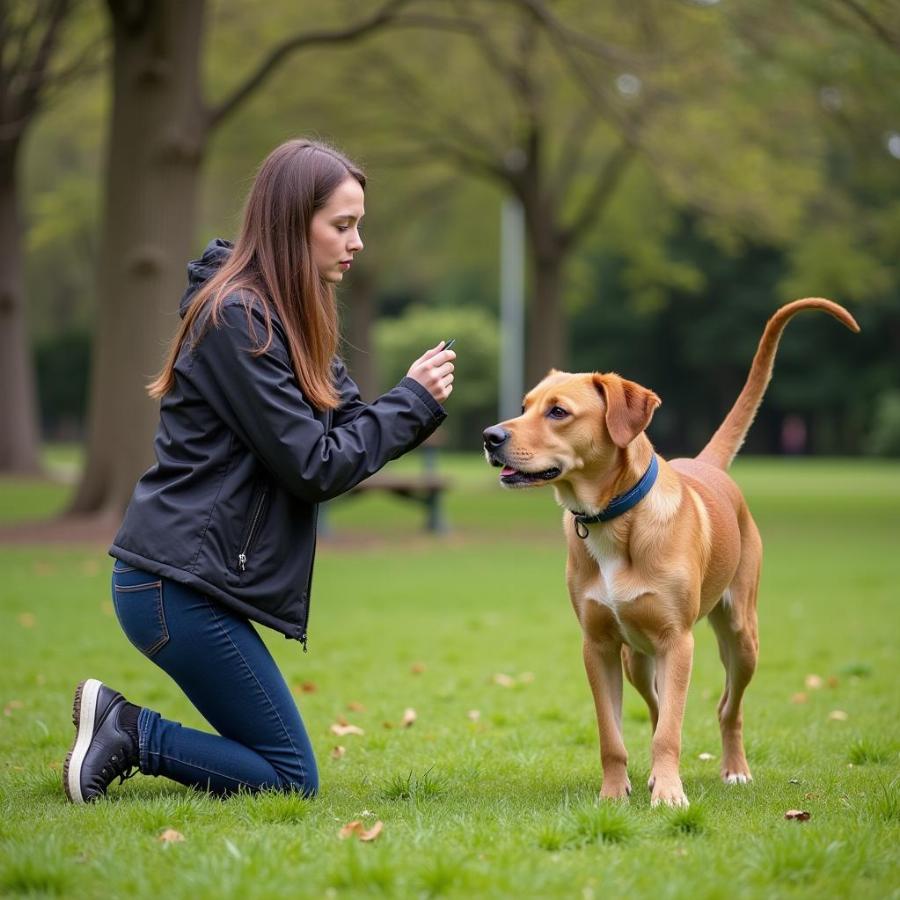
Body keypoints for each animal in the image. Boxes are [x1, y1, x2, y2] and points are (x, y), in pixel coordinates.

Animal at [486, 298, 856, 804]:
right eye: (523, 407)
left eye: (558, 412)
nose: (490, 436)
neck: (612, 520)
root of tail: (705, 464)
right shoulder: (598, 646)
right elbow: (613, 734)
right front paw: (614, 793)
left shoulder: (677, 641)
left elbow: (671, 729)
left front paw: (668, 795)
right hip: (636, 660)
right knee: (659, 705)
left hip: (741, 636)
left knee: (727, 707)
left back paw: (734, 769)